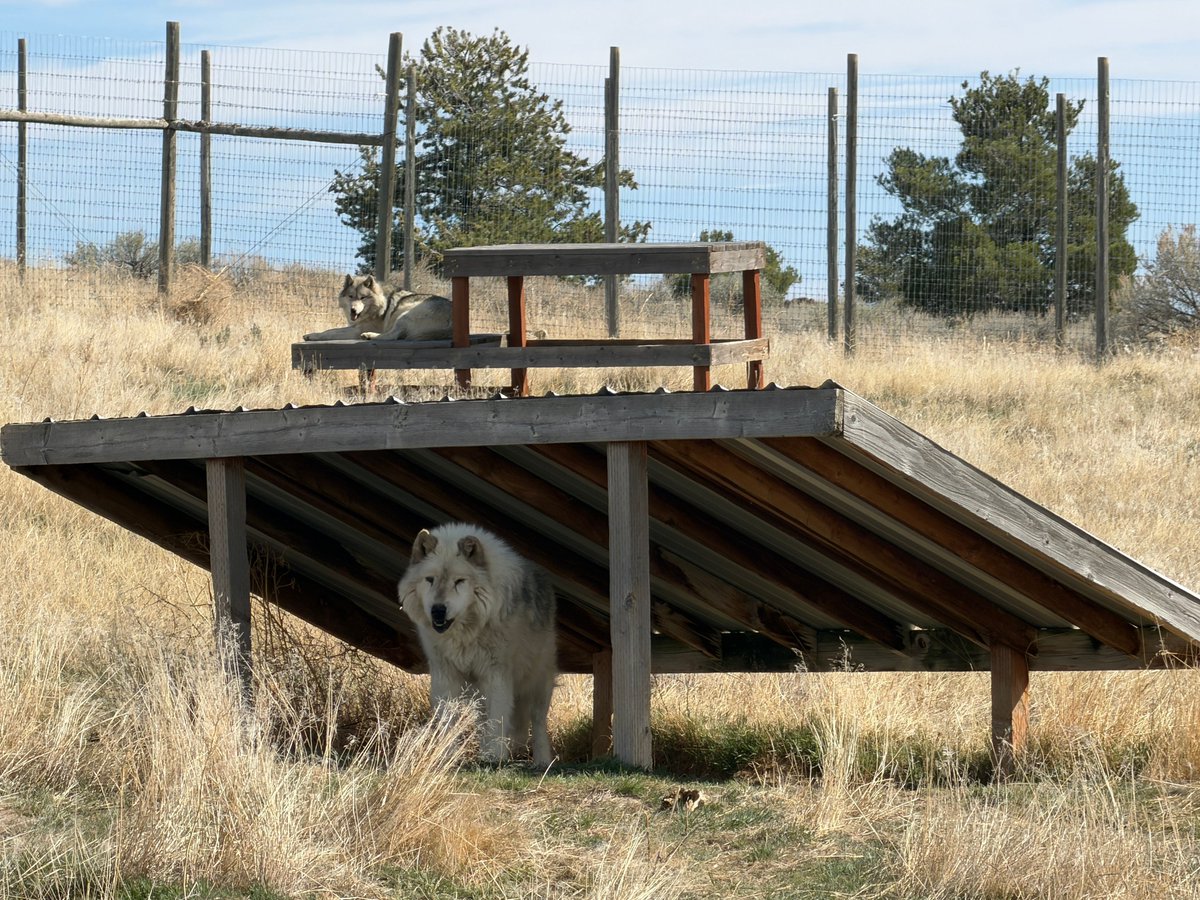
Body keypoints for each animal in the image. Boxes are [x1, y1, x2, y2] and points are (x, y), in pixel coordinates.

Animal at [303, 273, 453, 341]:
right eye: (351, 296)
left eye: (362, 298)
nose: (353, 310)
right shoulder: (354, 326)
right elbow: (330, 330)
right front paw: (310, 335)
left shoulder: (357, 330)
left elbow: (330, 333)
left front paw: (313, 336)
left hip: (404, 315)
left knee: (392, 336)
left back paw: (369, 336)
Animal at [398, 522, 557, 767]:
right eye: (430, 579)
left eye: (459, 581)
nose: (438, 610)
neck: (465, 632)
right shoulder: (445, 674)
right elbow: (447, 718)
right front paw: (446, 755)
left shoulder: (496, 675)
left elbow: (497, 719)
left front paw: (494, 757)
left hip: (538, 682)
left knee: (538, 723)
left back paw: (541, 762)